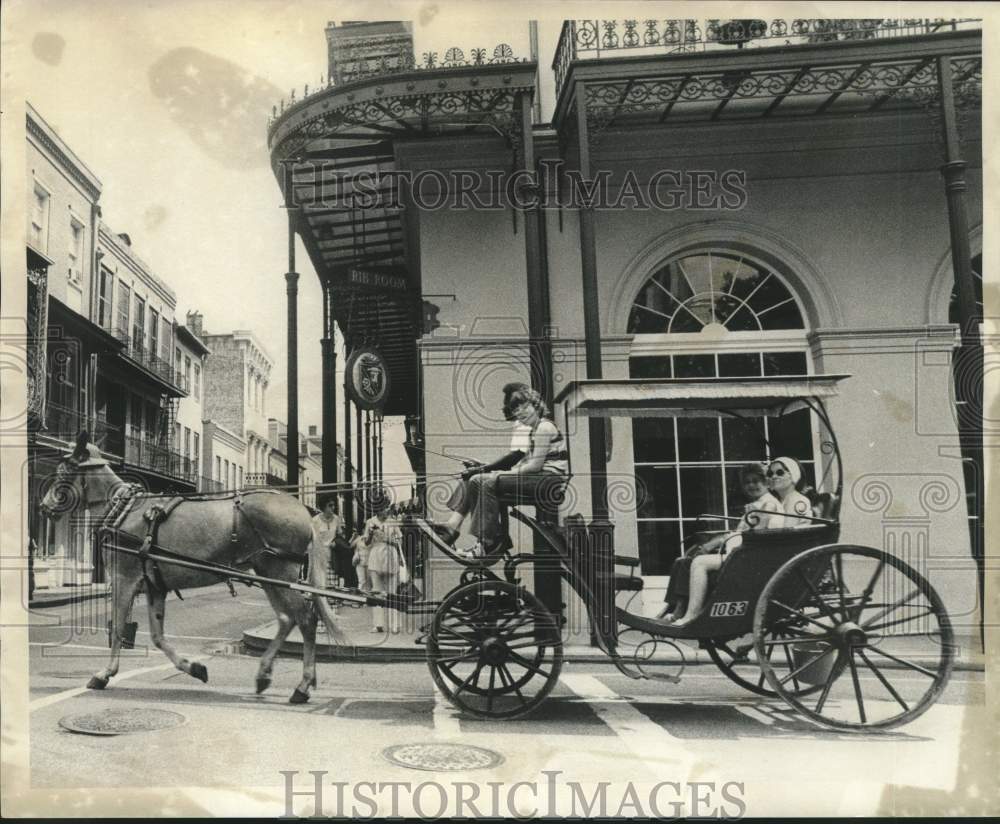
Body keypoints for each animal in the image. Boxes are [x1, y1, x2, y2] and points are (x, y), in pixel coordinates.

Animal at [41, 432, 346, 700]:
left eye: (65, 471)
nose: (44, 507)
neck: (124, 510)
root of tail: (303, 512)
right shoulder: (155, 585)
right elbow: (157, 636)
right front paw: (194, 668)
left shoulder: (124, 579)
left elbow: (117, 627)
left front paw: (104, 674)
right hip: (269, 574)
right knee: (287, 619)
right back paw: (265, 675)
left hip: (279, 571)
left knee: (305, 619)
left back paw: (302, 686)